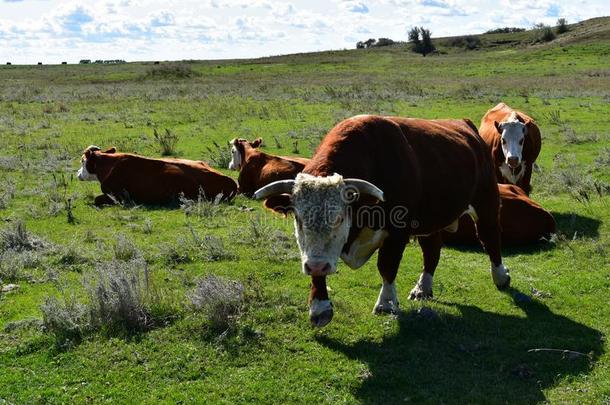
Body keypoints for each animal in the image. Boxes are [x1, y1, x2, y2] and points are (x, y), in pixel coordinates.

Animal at [76, 145, 238, 205]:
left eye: (82, 161)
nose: (78, 173)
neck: (110, 165)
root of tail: (231, 181)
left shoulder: (117, 195)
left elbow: (97, 199)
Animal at [254, 113, 510, 326]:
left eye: (339, 218)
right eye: (298, 218)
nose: (315, 264)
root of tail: (466, 126)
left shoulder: (398, 231)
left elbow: (387, 265)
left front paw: (386, 303)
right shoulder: (317, 255)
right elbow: (319, 272)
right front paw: (319, 308)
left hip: (486, 202)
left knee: (490, 238)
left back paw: (500, 276)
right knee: (432, 249)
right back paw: (423, 287)